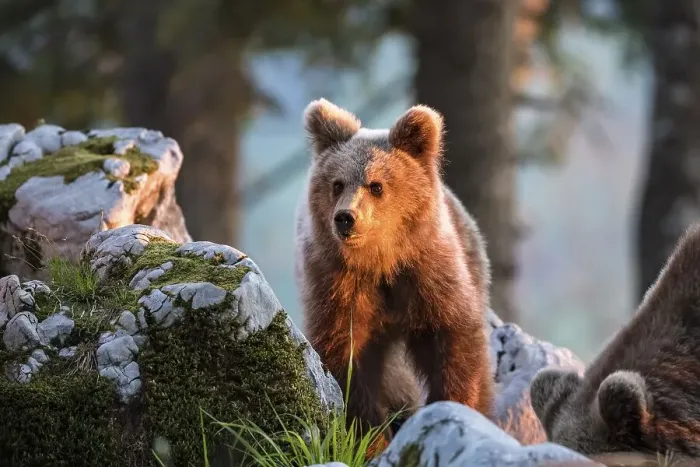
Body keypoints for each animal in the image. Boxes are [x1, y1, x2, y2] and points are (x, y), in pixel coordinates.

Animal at [293, 98, 494, 444]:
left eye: (376, 186)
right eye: (337, 183)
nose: (346, 218)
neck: (380, 262)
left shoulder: (428, 274)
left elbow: (455, 338)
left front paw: (456, 405)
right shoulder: (337, 286)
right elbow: (346, 359)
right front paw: (371, 436)